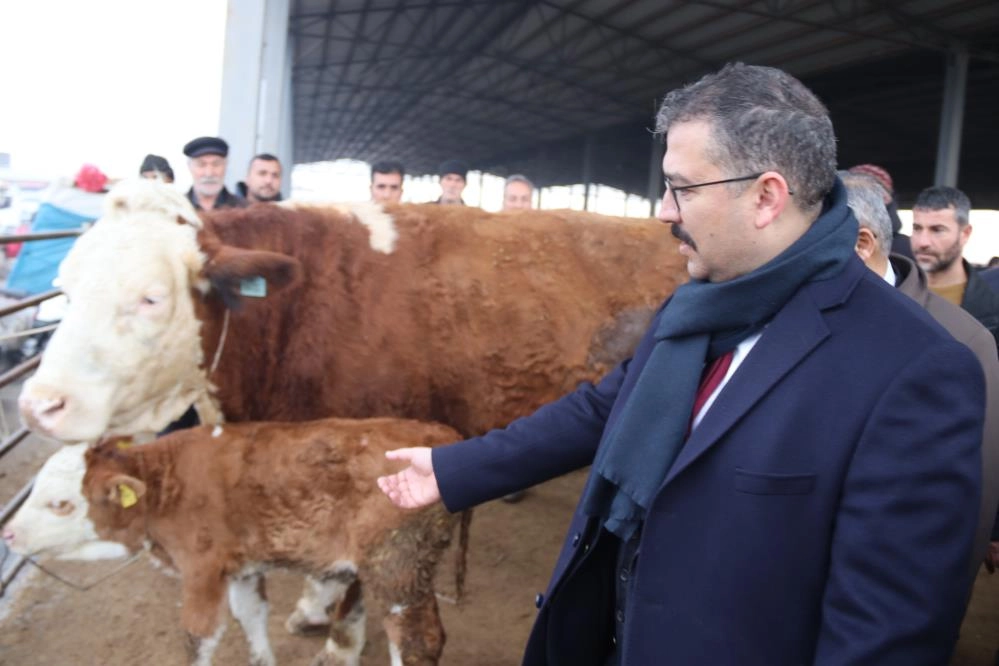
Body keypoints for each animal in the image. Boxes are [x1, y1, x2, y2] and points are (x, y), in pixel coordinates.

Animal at [3, 418, 468, 660]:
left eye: (60, 504)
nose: (6, 532)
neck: (165, 483)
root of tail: (441, 434)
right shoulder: (241, 567)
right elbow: (251, 615)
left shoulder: (202, 568)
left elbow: (199, 636)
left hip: (397, 566)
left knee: (418, 640)